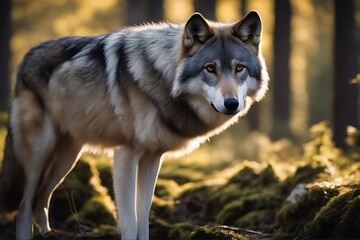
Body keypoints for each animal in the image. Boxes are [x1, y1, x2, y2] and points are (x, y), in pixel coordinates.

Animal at [0, 11, 268, 240]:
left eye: (239, 68)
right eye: (210, 68)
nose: (231, 103)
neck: (163, 78)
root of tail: (24, 59)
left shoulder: (152, 158)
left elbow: (143, 218)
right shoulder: (126, 154)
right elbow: (130, 221)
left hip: (67, 159)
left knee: (41, 201)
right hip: (38, 156)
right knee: (23, 207)